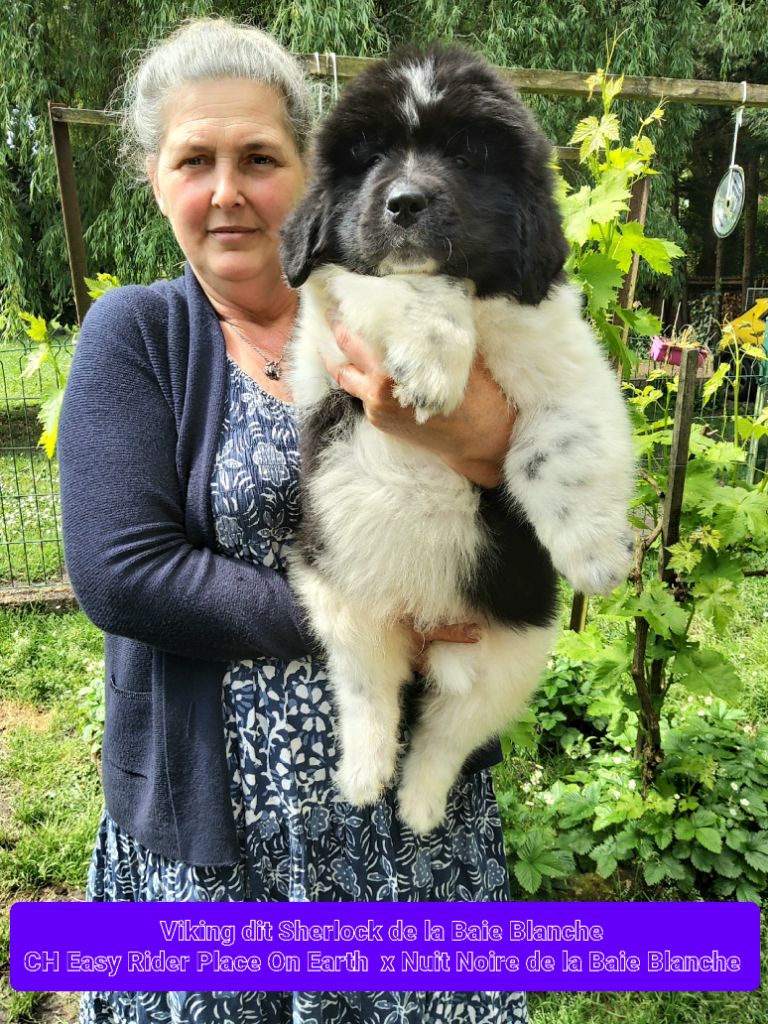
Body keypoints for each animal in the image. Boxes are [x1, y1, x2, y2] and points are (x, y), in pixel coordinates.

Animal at [280, 45, 635, 835]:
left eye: (469, 155)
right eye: (370, 154)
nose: (405, 202)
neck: (476, 300)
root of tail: (423, 620)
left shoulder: (567, 362)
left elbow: (562, 444)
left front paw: (597, 556)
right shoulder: (328, 331)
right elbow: (395, 282)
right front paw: (432, 361)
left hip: (510, 654)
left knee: (445, 735)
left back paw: (418, 805)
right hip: (339, 600)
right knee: (371, 701)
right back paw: (363, 778)